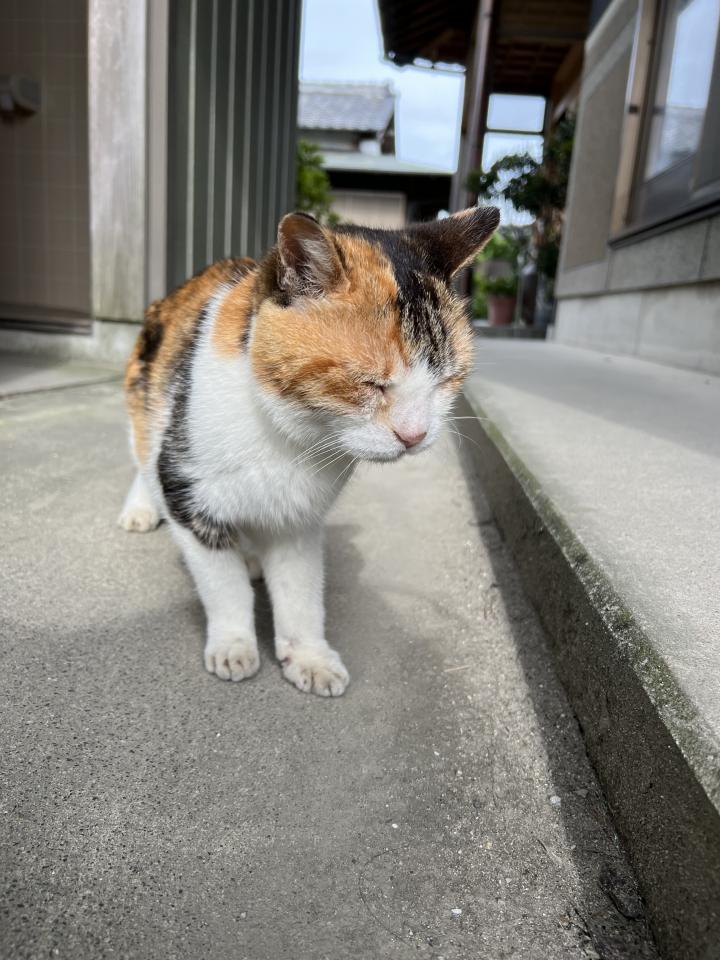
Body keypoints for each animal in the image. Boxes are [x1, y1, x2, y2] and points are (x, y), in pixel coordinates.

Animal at [119, 206, 499, 696]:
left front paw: (310, 657)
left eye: (446, 381)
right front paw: (233, 644)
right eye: (370, 383)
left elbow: (299, 593)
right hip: (147, 404)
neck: (287, 439)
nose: (415, 436)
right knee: (143, 456)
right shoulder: (189, 495)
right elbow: (224, 585)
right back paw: (141, 509)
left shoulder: (298, 521)